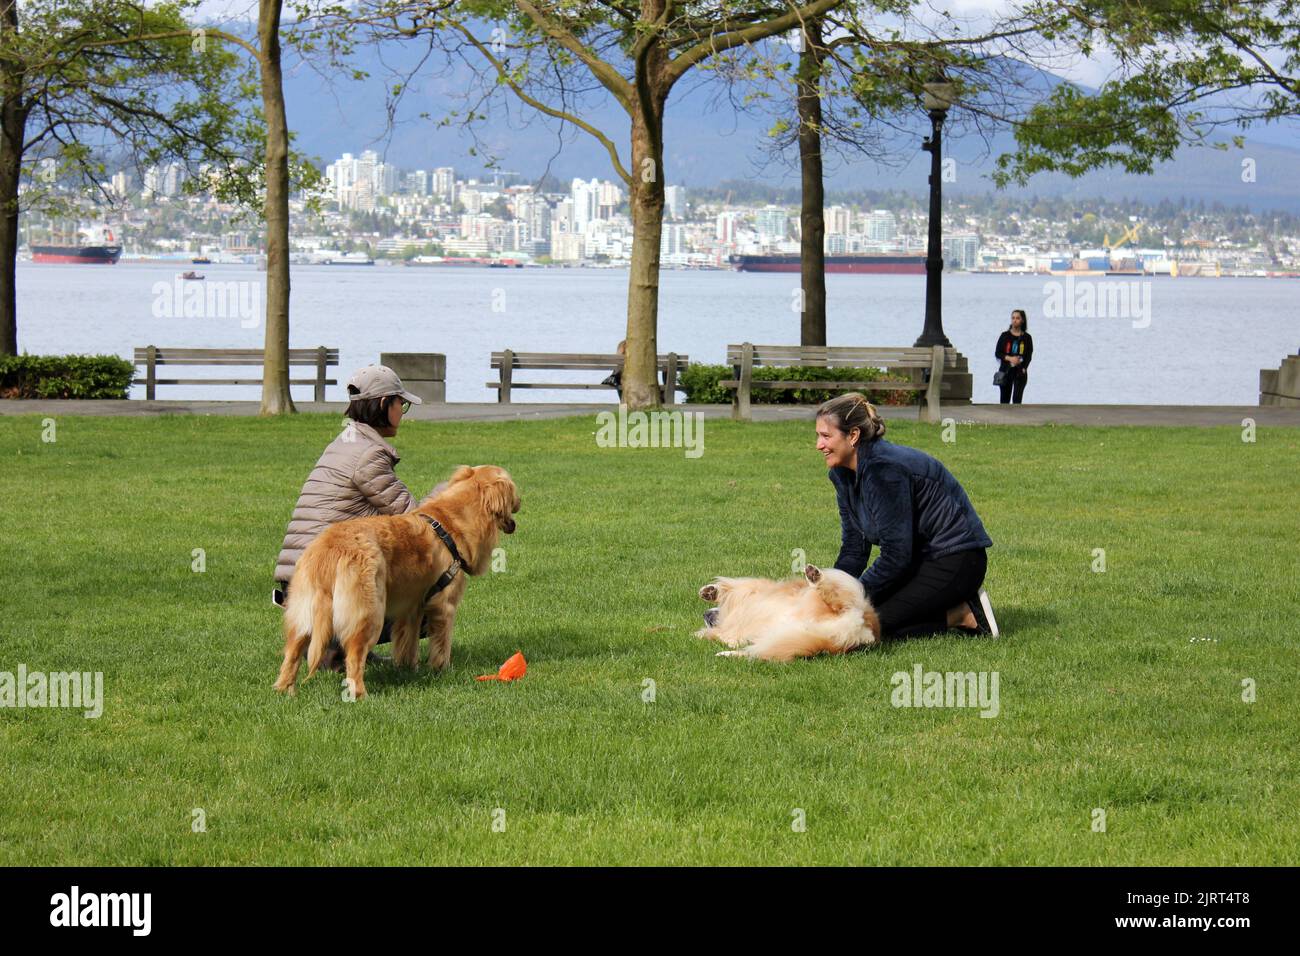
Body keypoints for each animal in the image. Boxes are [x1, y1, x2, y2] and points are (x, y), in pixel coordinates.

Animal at [276, 468, 520, 697]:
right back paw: (360, 694)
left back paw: (285, 690)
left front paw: (408, 669)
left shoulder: (412, 607)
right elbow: (442, 643)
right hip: (369, 614)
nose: (521, 502)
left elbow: (408, 643)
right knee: (354, 655)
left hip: (303, 612)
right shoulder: (444, 605)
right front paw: (442, 670)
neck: (451, 523)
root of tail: (329, 549)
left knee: (292, 653)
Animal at [691, 564, 883, 660]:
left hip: (851, 597)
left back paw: (815, 576)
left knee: (834, 597)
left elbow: (733, 588)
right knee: (759, 651)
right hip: (792, 639)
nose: (704, 615)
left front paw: (710, 592)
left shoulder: (755, 589)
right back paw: (727, 654)